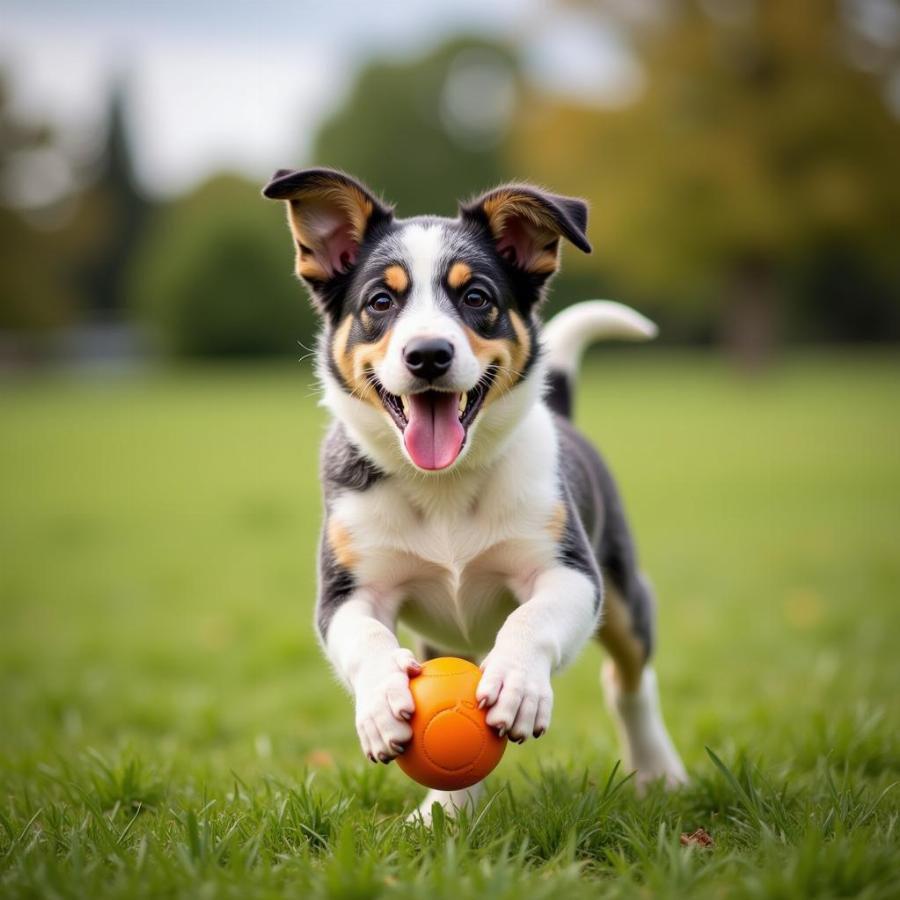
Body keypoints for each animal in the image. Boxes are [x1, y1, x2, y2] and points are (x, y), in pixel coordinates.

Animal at [264, 171, 684, 824]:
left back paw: (658, 771)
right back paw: (446, 810)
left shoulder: (572, 572)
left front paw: (516, 683)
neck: (442, 485)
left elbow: (532, 617)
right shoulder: (345, 592)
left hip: (622, 589)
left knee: (630, 680)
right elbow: (365, 638)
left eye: (477, 298)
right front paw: (382, 705)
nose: (428, 354)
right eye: (380, 302)